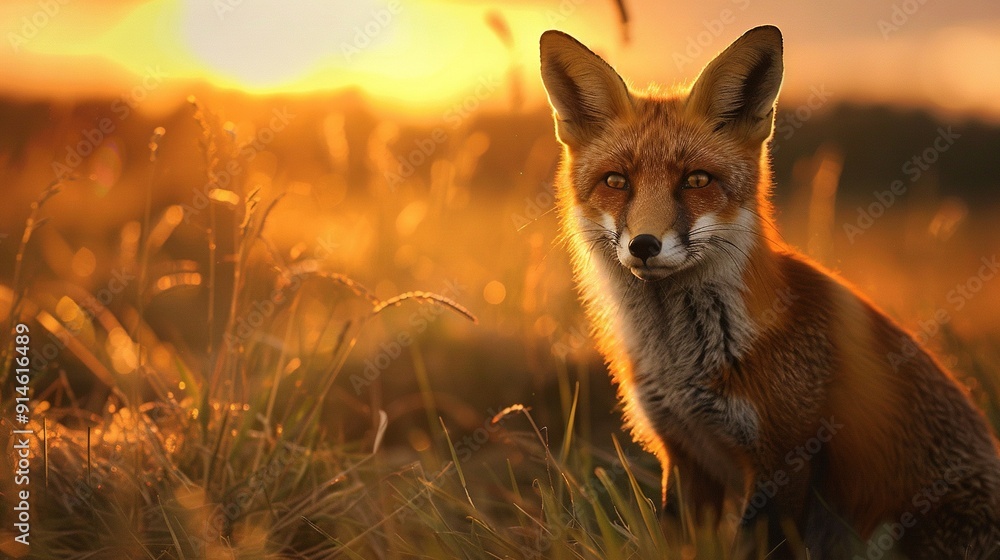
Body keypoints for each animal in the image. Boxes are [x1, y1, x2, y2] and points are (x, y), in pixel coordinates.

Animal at [539, 25, 1000, 558]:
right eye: (616, 181)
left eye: (696, 180)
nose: (645, 245)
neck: (683, 365)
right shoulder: (685, 454)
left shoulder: (786, 459)